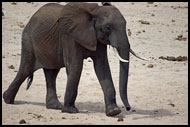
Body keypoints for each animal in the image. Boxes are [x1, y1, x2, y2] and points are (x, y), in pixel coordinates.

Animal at [3, 2, 148, 117]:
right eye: (108, 27)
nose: (128, 108)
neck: (94, 11)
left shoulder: (97, 39)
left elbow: (102, 67)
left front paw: (114, 112)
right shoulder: (69, 37)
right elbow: (76, 66)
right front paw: (71, 111)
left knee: (52, 72)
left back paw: (55, 106)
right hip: (28, 39)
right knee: (25, 70)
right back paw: (8, 100)